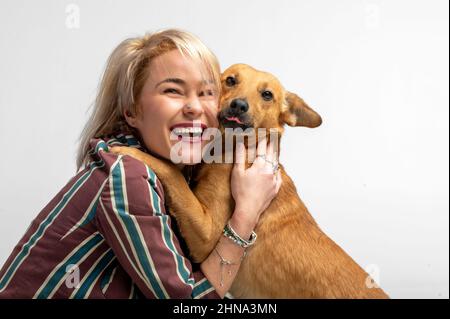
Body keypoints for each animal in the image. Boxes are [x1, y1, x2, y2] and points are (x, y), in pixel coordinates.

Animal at [111, 63, 386, 298]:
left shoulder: (208, 235)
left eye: (267, 94)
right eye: (231, 80)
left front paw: (131, 152)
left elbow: (171, 171)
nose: (239, 105)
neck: (232, 151)